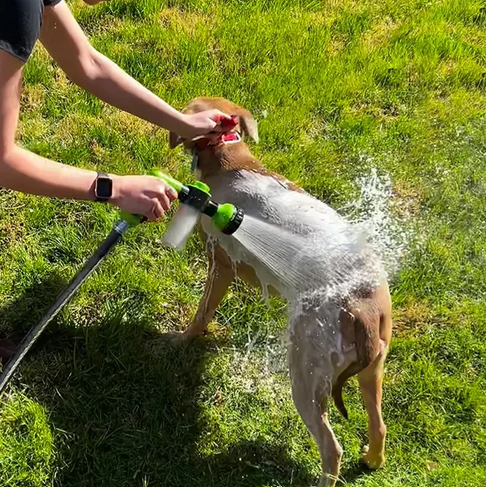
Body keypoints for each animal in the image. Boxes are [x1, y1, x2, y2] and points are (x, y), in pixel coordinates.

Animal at [169, 97, 392, 486]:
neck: (231, 161)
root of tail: (363, 312)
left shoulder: (221, 264)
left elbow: (201, 315)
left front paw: (180, 340)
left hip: (307, 376)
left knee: (331, 448)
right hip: (373, 369)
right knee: (378, 426)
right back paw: (371, 460)